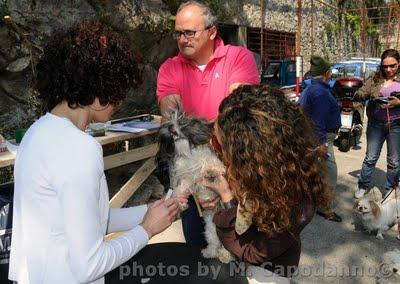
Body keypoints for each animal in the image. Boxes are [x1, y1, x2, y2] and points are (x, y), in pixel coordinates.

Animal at [157, 111, 234, 264]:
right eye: (170, 122)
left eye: (182, 122)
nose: (170, 127)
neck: (190, 155)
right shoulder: (187, 178)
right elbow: (181, 188)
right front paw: (179, 201)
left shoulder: (211, 161)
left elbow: (212, 164)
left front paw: (211, 171)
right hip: (211, 228)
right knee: (214, 241)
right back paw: (210, 252)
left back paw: (225, 255)